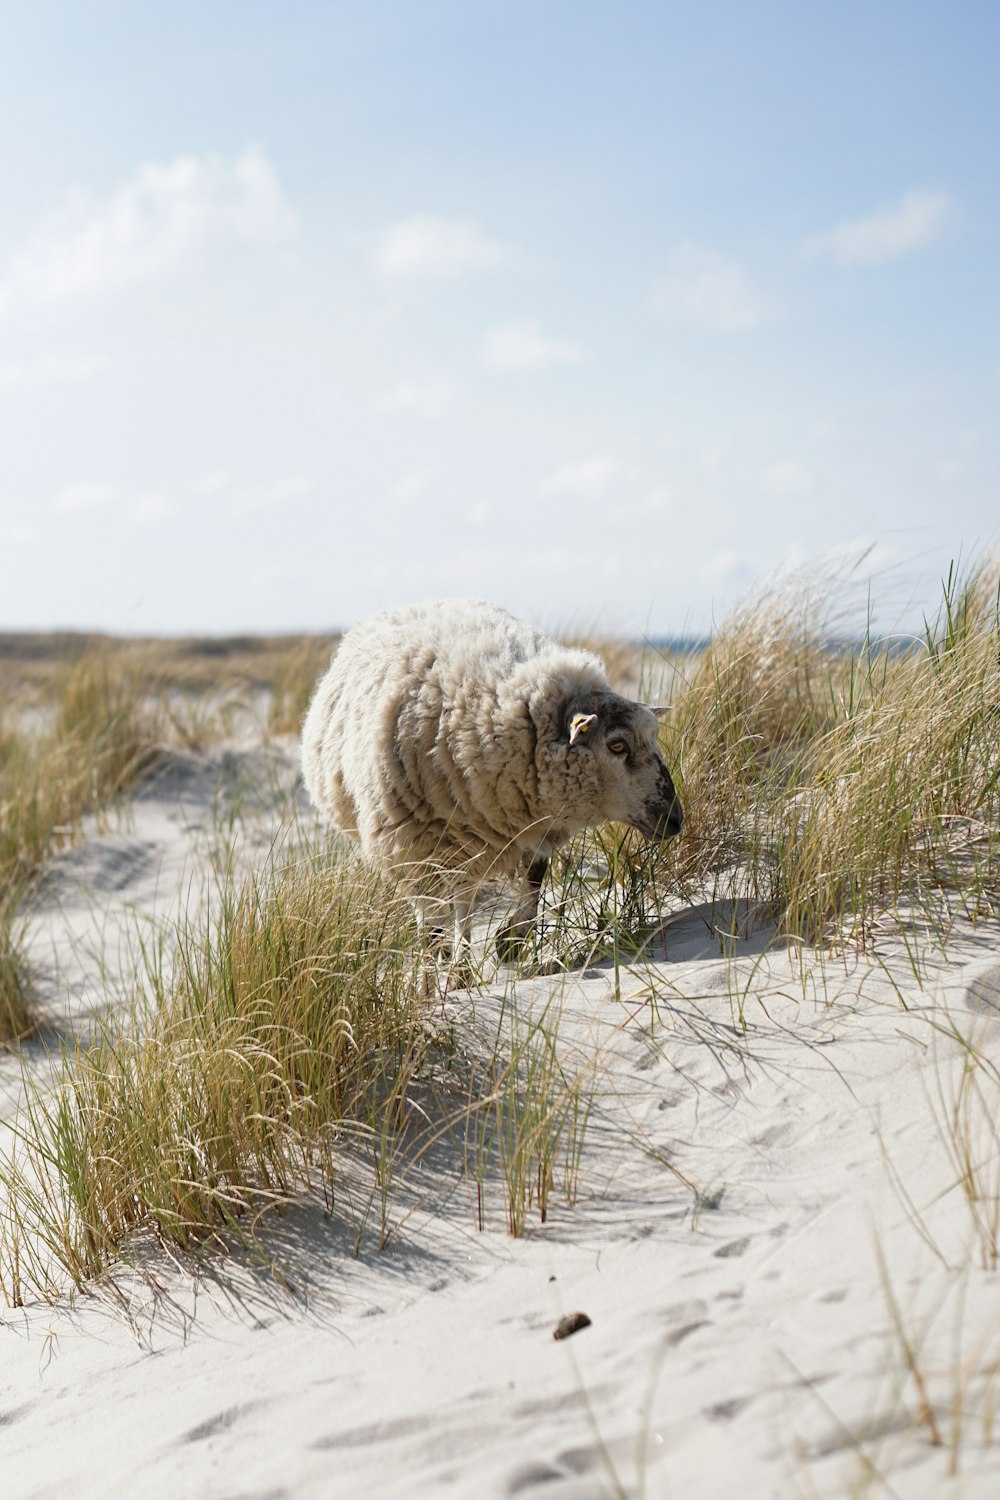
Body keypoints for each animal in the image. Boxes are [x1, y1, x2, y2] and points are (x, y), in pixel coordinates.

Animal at [301, 603, 683, 966]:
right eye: (616, 745)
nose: (675, 819)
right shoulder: (433, 844)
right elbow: (451, 918)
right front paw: (460, 968)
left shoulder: (537, 827)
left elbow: (533, 882)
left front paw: (510, 941)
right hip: (416, 847)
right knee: (431, 914)